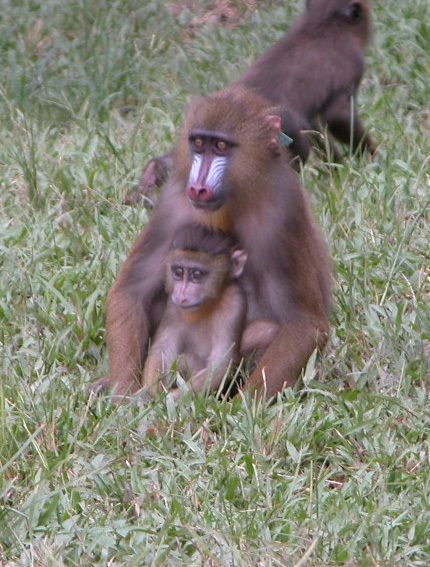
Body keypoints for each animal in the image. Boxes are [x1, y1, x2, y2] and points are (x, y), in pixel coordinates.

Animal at [126, 0, 374, 206]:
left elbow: (319, 126)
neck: (321, 23)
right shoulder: (352, 65)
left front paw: (339, 167)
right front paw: (369, 159)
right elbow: (336, 115)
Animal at [143, 223, 247, 400]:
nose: (182, 293)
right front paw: (150, 394)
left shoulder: (234, 302)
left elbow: (220, 364)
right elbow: (162, 349)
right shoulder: (173, 306)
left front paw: (165, 400)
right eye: (178, 272)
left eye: (197, 274)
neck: (206, 306)